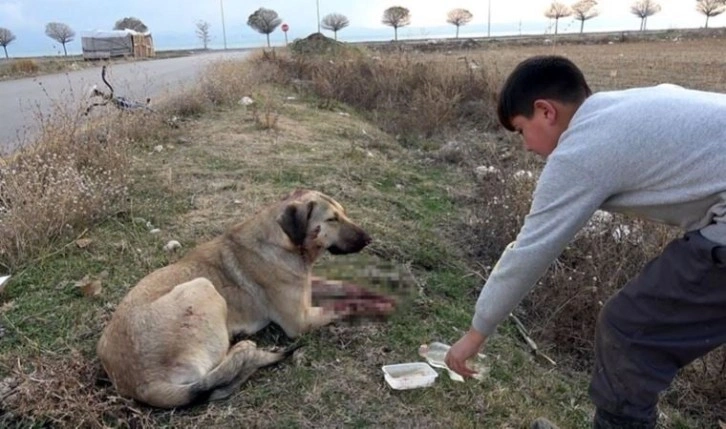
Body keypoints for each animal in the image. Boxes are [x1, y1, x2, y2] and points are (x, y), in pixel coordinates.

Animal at [96, 191, 372, 408]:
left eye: (343, 213)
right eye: (332, 219)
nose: (369, 239)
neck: (283, 243)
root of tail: (140, 384)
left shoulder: (307, 288)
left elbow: (342, 287)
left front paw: (370, 292)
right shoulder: (299, 321)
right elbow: (339, 307)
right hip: (203, 287)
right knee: (225, 369)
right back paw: (244, 347)